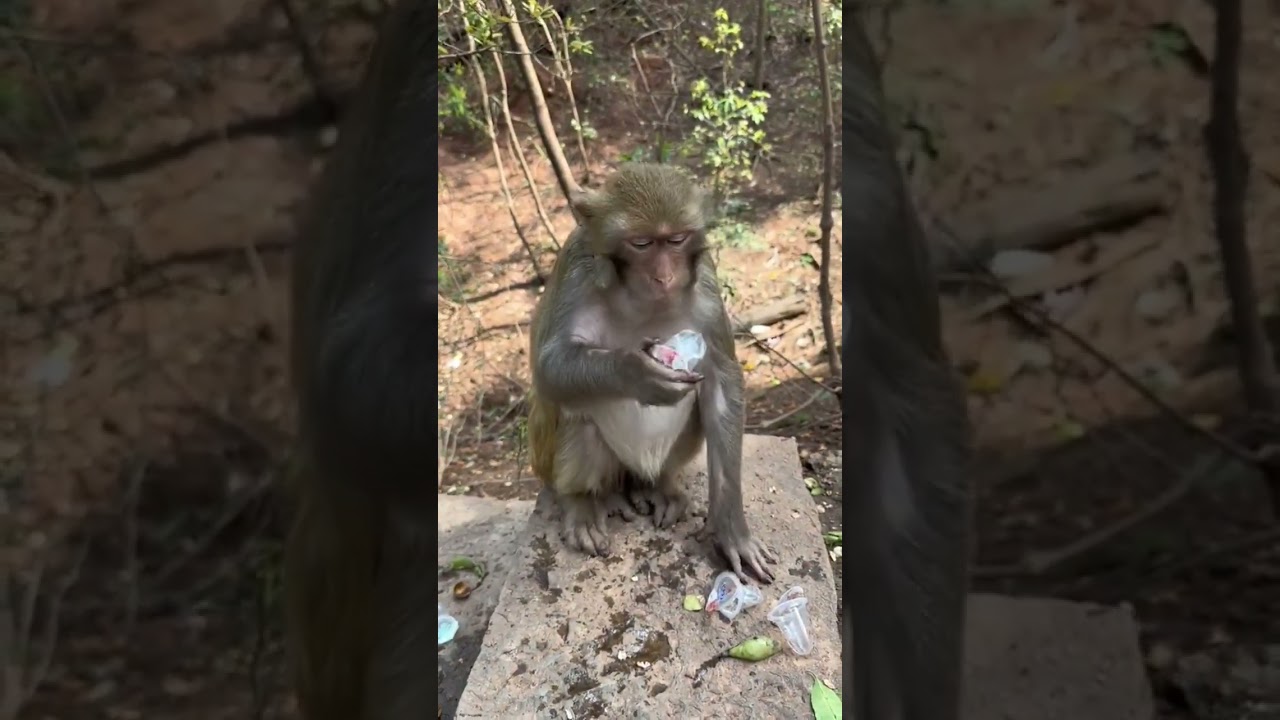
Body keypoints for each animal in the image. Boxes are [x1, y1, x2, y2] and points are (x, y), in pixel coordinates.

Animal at [526, 163, 776, 584]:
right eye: (641, 244)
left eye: (675, 239)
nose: (664, 277)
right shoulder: (577, 267)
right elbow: (548, 369)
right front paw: (637, 373)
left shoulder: (706, 280)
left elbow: (721, 382)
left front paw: (731, 530)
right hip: (556, 464)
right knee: (578, 415)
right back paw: (583, 500)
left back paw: (659, 487)